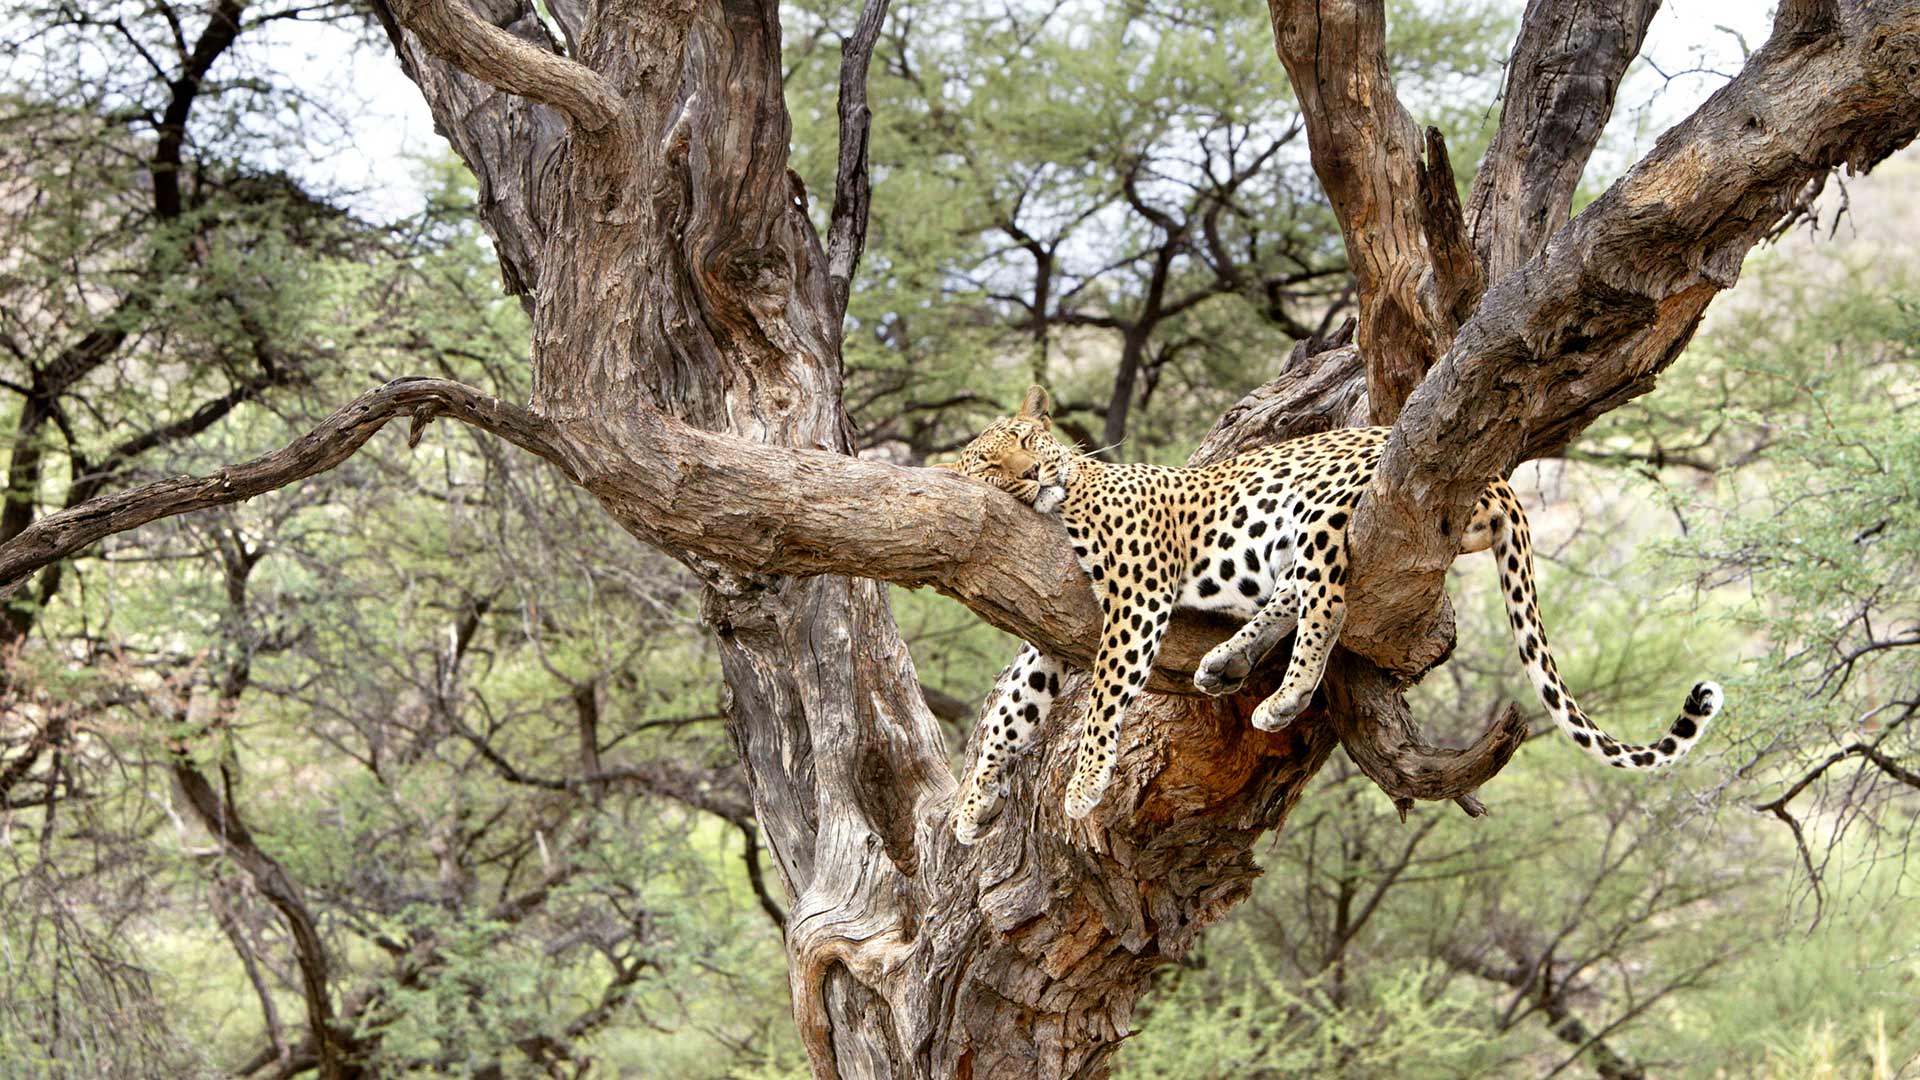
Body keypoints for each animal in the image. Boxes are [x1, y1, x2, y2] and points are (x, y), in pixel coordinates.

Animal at [938, 386, 1724, 845]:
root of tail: (1500, 477)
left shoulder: (1137, 595)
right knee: (1294, 594)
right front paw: (973, 803)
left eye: (1029, 443)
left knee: (1329, 602)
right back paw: (1226, 663)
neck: (1068, 496)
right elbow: (1010, 711)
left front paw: (1084, 786)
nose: (1035, 474)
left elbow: (1104, 697)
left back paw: (1282, 697)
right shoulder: (1050, 632)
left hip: (1319, 509)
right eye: (993, 465)